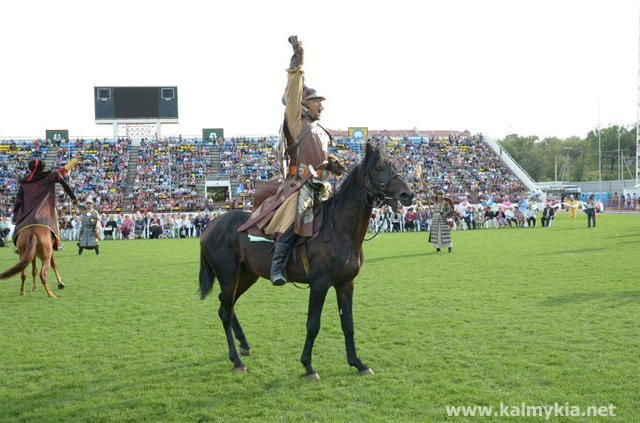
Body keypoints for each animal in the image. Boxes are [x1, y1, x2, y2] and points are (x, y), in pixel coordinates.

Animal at [200, 143, 416, 380]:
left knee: (227, 306)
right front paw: (308, 366)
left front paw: (357, 363)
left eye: (393, 165)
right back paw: (237, 360)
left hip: (246, 276)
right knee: (224, 311)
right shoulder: (319, 284)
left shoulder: (345, 284)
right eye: (379, 168)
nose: (408, 194)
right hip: (229, 277)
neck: (339, 228)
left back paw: (244, 345)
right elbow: (313, 324)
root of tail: (211, 226)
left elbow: (348, 324)